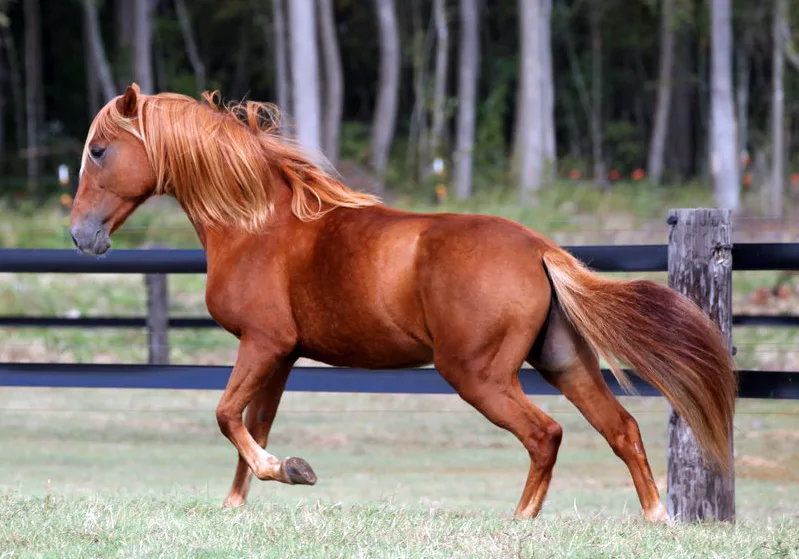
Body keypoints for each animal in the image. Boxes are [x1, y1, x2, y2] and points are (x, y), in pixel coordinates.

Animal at [69, 83, 737, 523]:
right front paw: (241, 501)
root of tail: (541, 249)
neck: (257, 224)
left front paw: (288, 470)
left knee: (545, 434)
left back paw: (521, 521)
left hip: (477, 374)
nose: (81, 236)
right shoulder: (282, 356)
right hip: (564, 363)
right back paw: (655, 518)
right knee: (621, 429)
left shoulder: (263, 343)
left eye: (99, 150)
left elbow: (227, 414)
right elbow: (253, 422)